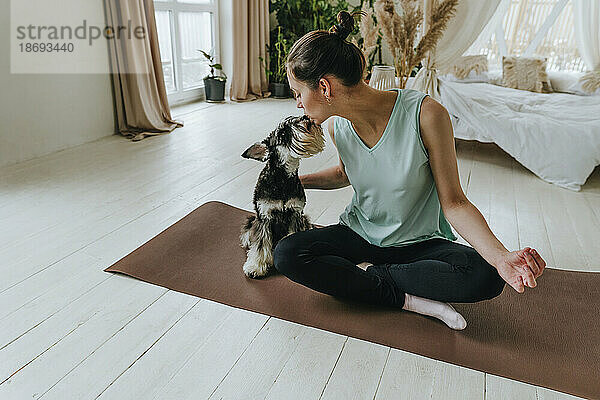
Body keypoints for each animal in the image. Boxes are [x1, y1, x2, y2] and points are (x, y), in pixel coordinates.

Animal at [239, 115, 326, 278]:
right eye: (283, 133)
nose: (305, 117)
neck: (283, 179)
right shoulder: (264, 217)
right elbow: (260, 245)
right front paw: (255, 267)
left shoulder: (296, 214)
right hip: (252, 221)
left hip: (305, 220)